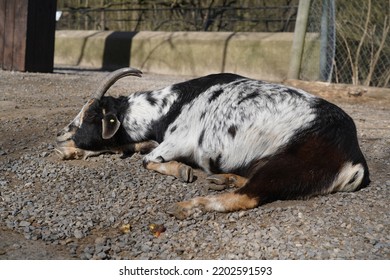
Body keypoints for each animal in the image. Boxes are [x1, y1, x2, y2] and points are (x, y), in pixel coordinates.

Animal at [54, 67, 368, 219]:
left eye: (90, 116)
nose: (62, 134)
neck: (170, 106)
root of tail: (354, 159)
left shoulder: (178, 141)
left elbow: (147, 160)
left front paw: (182, 170)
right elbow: (133, 147)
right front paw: (68, 151)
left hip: (290, 165)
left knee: (247, 196)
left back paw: (188, 206)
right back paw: (224, 178)